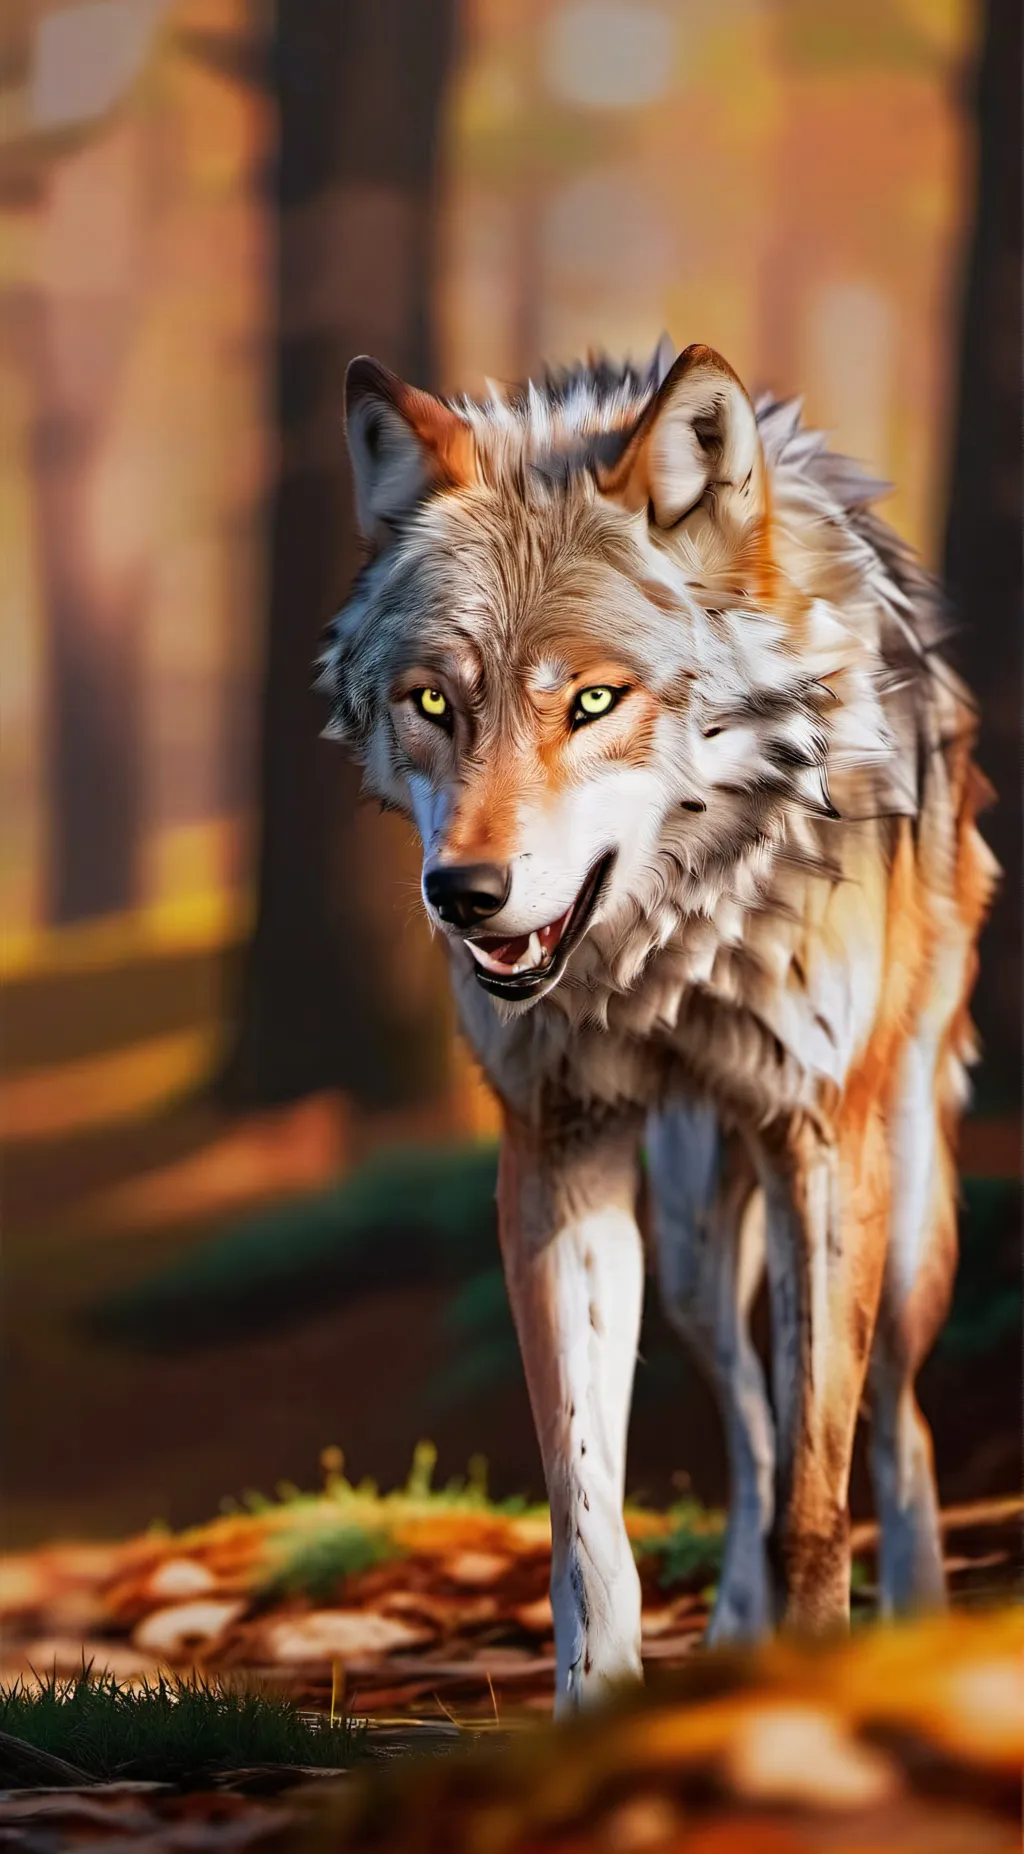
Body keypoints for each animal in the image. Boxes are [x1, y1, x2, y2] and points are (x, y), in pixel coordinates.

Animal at [318, 338, 997, 1714]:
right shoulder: (557, 1147)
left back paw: (906, 1627)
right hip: (686, 1245)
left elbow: (817, 1502)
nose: (462, 894)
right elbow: (588, 1513)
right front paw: (594, 1706)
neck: (665, 953)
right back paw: (737, 1635)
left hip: (900, 1208)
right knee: (748, 1427)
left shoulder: (818, 1143)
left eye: (591, 700)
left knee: (891, 1425)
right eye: (432, 703)